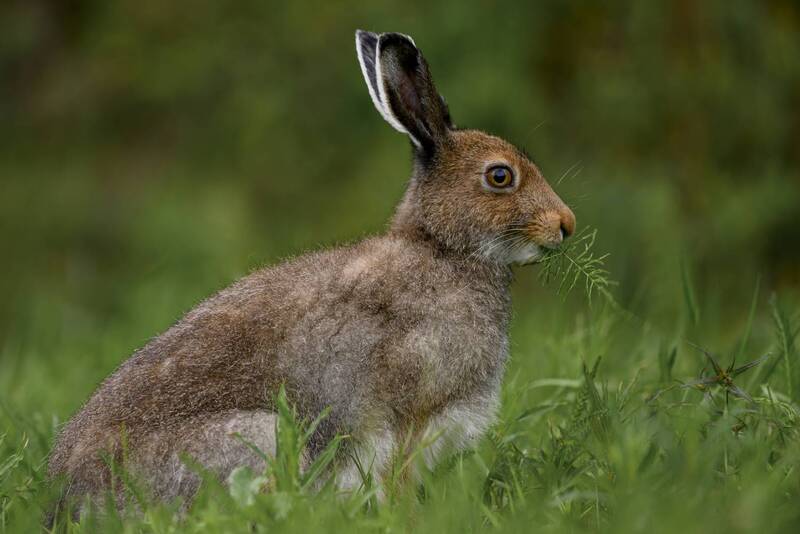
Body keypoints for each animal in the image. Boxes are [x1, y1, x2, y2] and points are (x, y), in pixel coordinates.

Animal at [47, 30, 576, 516]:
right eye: (500, 176)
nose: (566, 224)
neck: (442, 248)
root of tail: (71, 498)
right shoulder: (409, 414)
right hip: (261, 436)